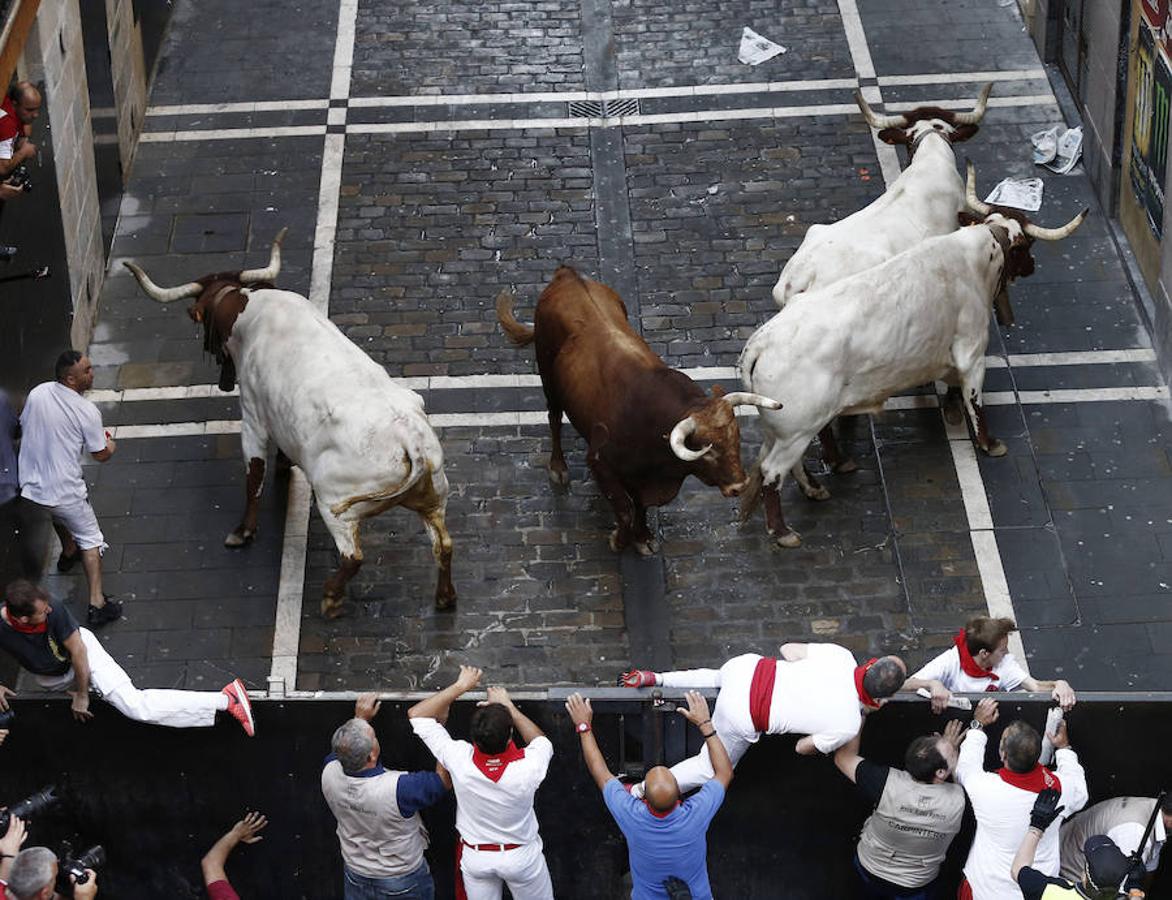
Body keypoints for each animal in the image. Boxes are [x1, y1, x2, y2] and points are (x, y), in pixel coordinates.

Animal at [125, 228, 454, 614]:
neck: (249, 312)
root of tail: (410, 441)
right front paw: (283, 466)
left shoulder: (253, 417)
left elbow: (254, 475)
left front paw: (244, 530)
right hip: (434, 498)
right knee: (444, 546)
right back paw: (445, 597)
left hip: (335, 504)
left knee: (353, 557)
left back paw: (331, 595)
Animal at [494, 263, 778, 553]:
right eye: (706, 452)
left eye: (737, 438)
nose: (739, 485)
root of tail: (567, 274)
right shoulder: (600, 462)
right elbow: (625, 510)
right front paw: (620, 540)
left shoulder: (643, 482)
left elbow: (640, 506)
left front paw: (643, 537)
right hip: (548, 377)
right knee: (553, 417)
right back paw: (558, 467)